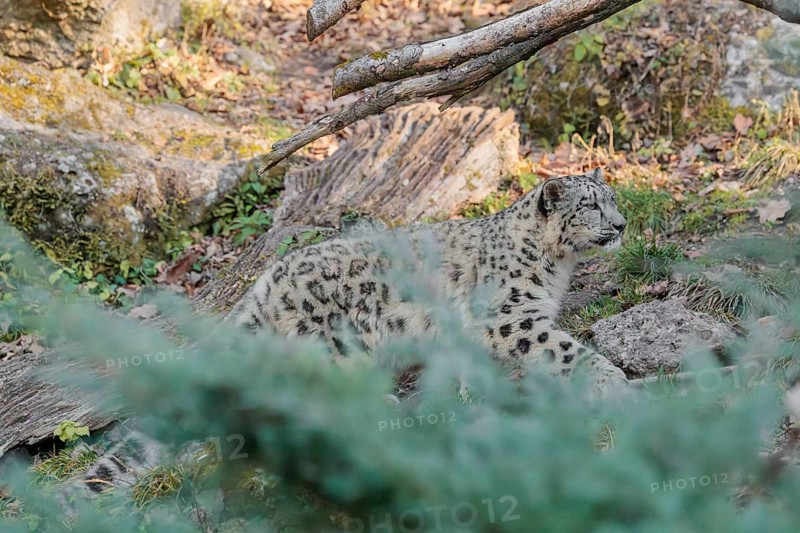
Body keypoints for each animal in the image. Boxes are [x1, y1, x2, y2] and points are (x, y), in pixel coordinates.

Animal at [227, 167, 629, 394]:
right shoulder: (511, 318)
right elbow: (563, 348)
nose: (622, 224)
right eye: (590, 205)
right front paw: (611, 378)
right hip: (337, 347)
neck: (555, 265)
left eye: (612, 198)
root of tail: (265, 282)